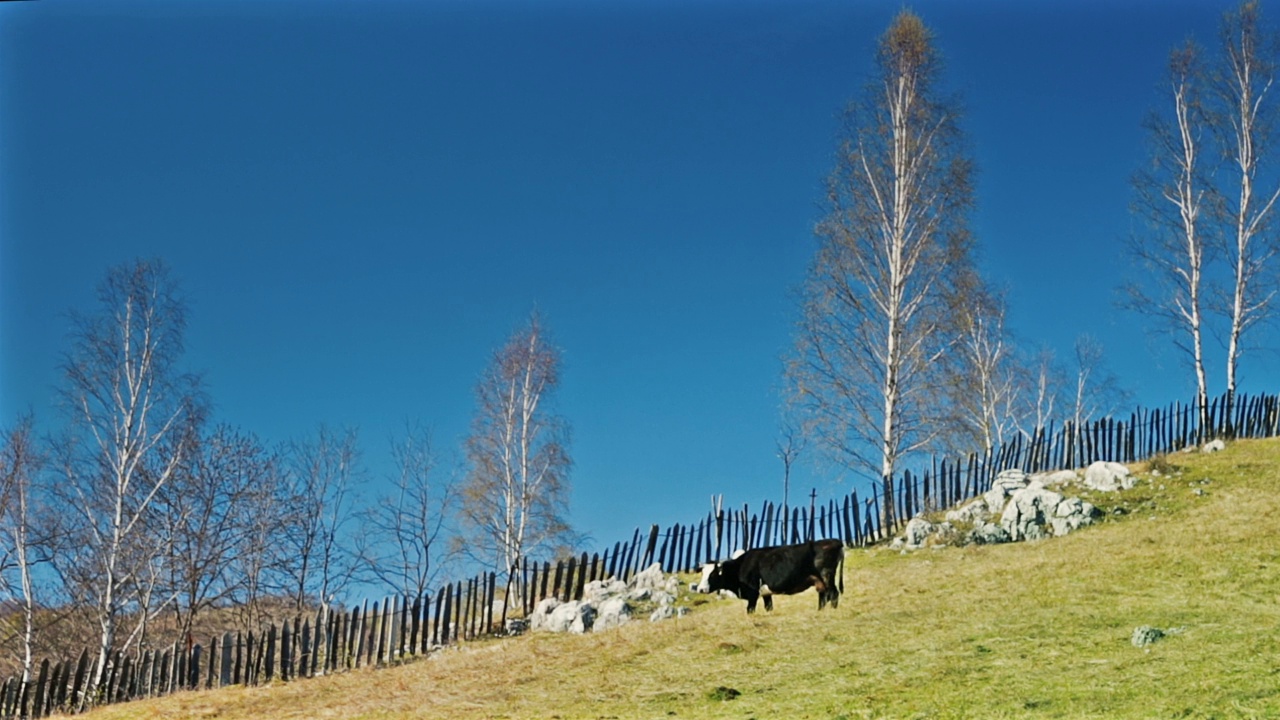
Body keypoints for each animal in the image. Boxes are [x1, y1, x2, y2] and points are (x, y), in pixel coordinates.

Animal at [696, 538, 844, 609]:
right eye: (702, 573)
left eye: (713, 574)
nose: (700, 589)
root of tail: (835, 541)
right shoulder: (766, 594)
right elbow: (769, 608)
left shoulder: (753, 595)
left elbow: (750, 611)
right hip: (819, 581)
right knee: (824, 597)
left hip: (826, 575)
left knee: (834, 594)